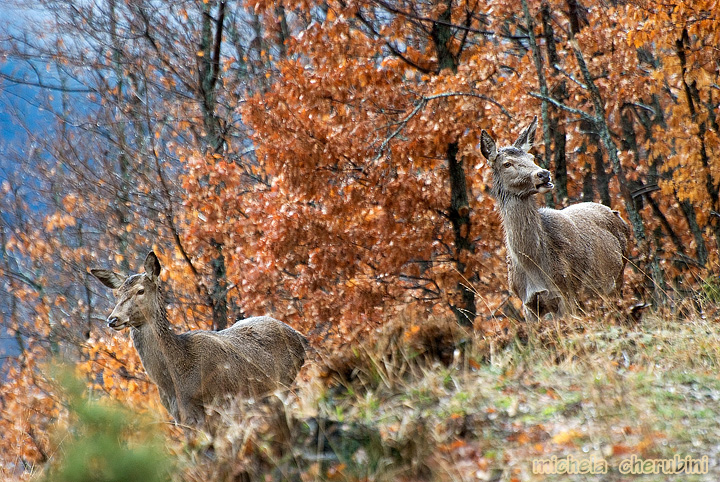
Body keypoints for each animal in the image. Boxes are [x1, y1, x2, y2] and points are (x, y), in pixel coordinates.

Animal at [88, 250, 308, 428]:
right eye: (117, 294)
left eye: (140, 290)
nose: (113, 319)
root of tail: (301, 338)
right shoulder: (181, 418)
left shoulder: (221, 405)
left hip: (284, 385)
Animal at [478, 116, 632, 320]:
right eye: (507, 164)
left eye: (531, 158)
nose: (543, 174)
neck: (534, 266)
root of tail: (618, 215)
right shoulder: (527, 304)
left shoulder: (566, 291)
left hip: (617, 278)